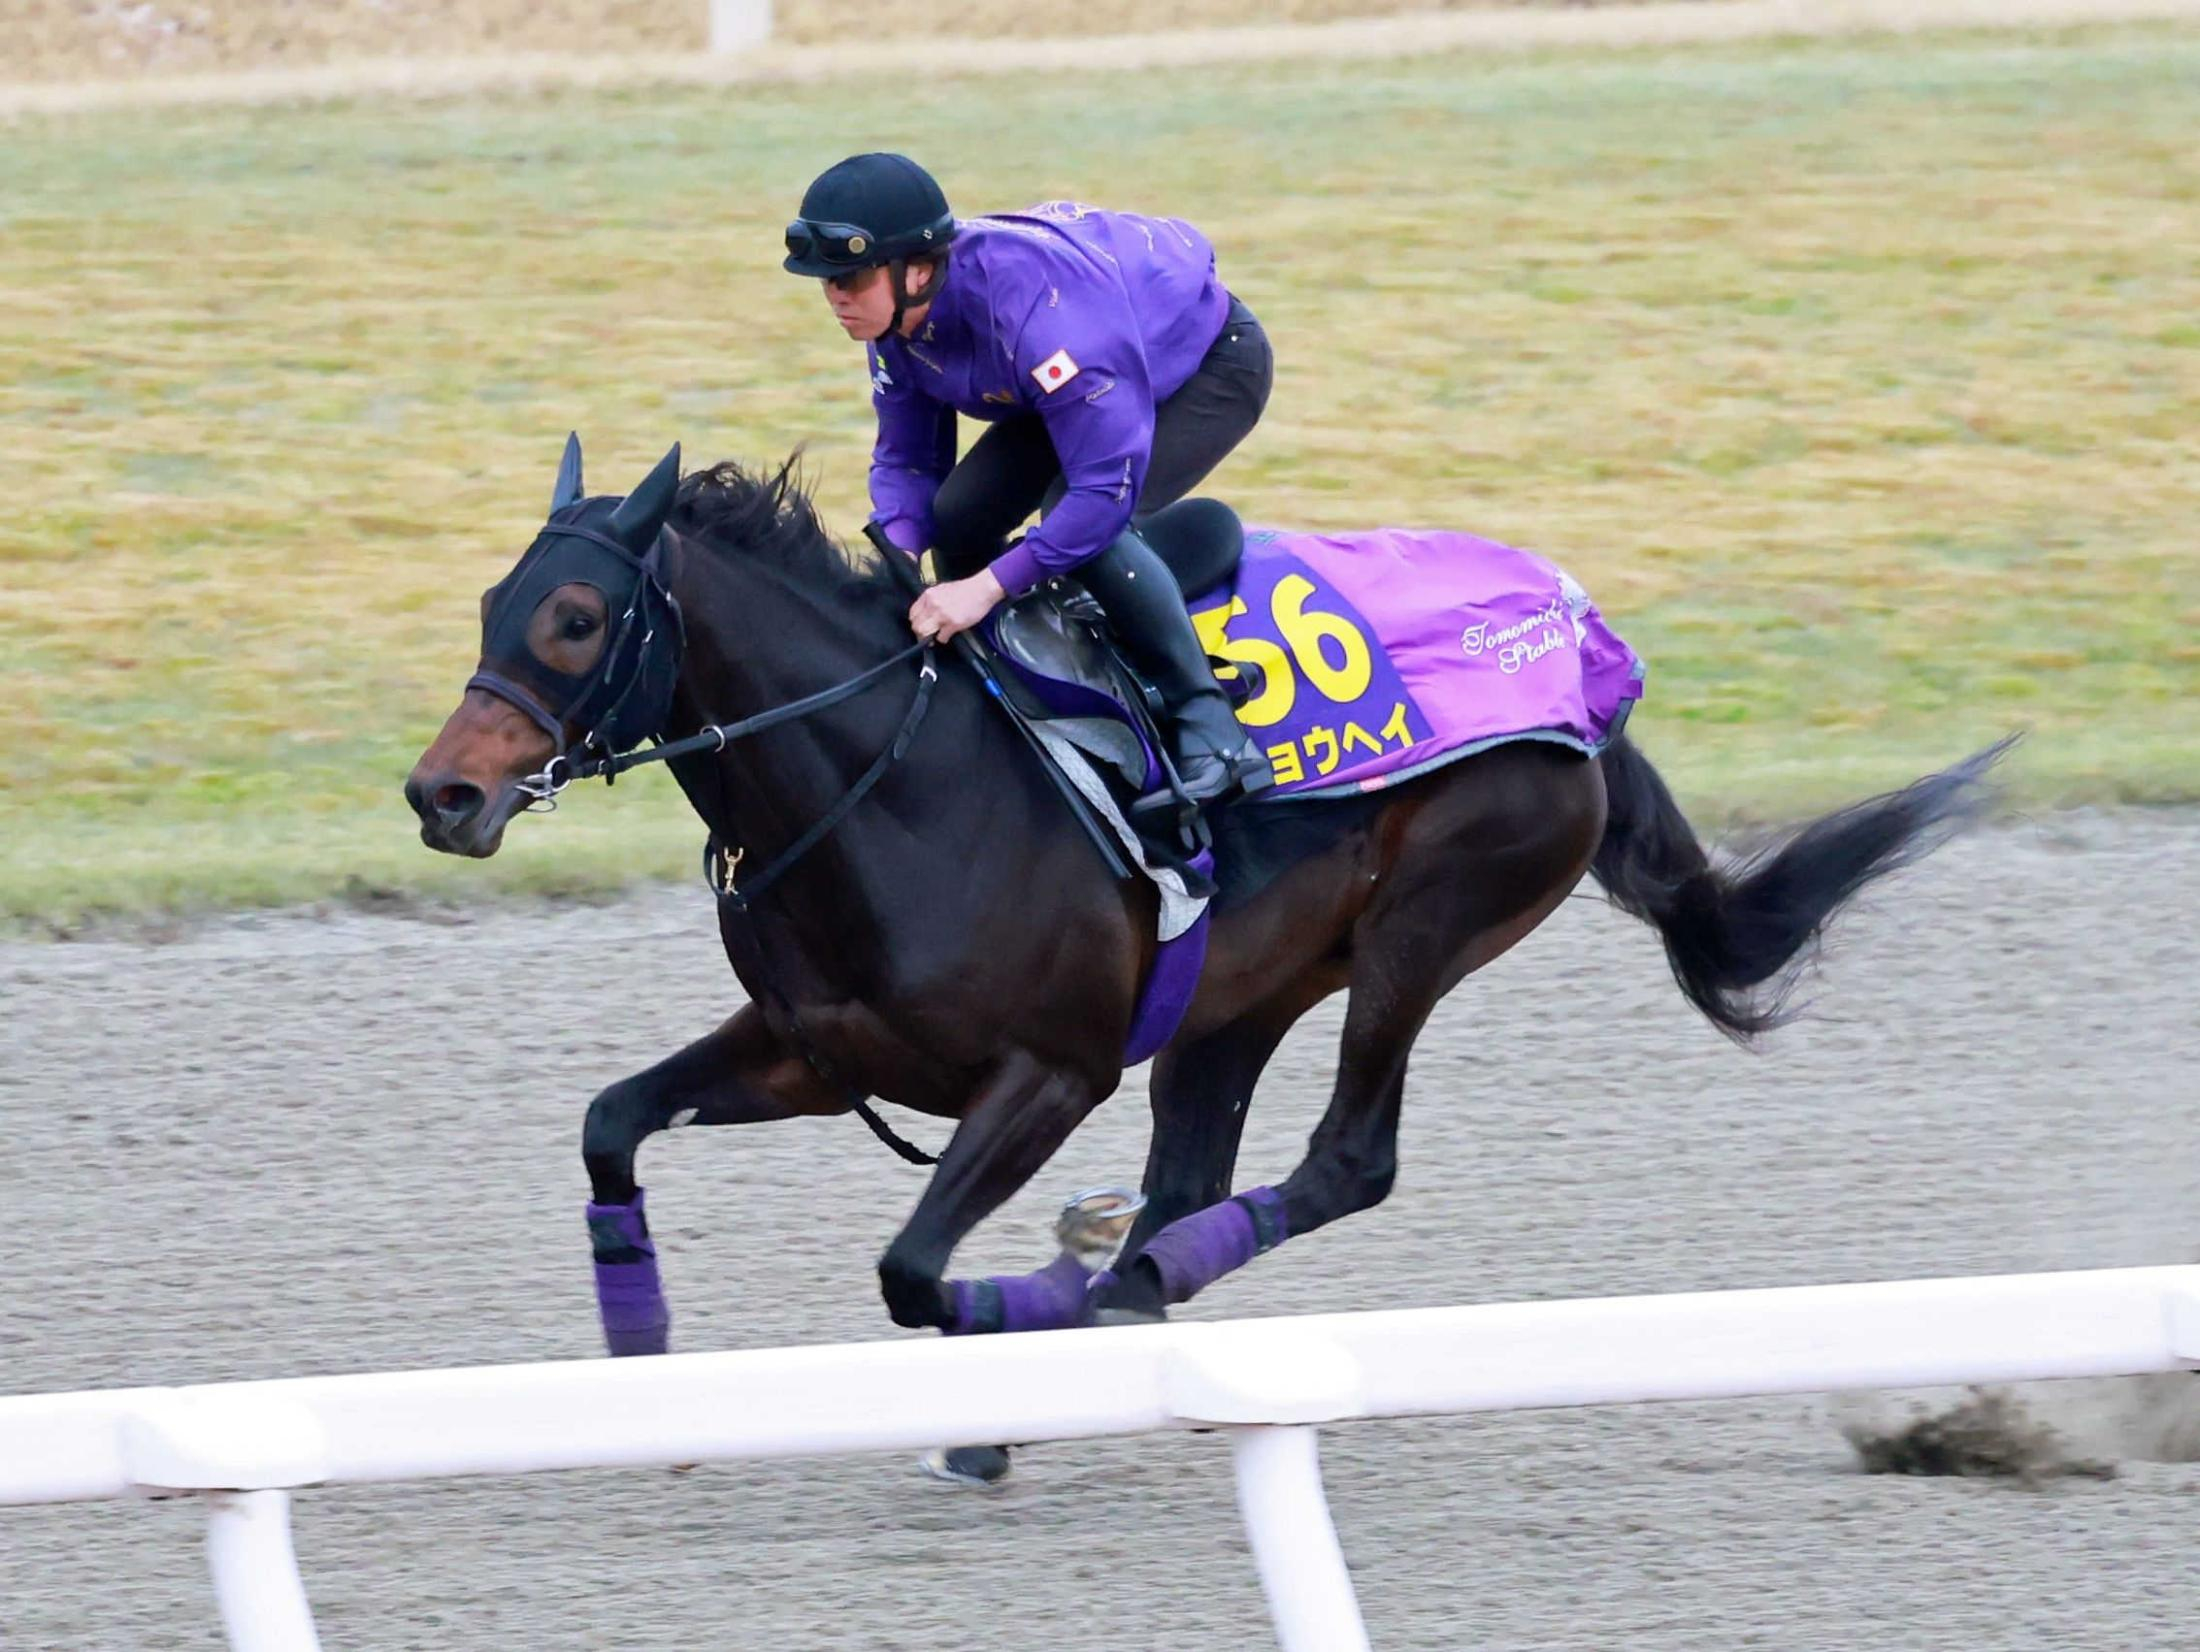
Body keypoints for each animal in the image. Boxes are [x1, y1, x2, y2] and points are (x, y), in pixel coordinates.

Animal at [406, 438, 2009, 1472]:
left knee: (1345, 1161)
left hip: (1425, 924)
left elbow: (914, 1272)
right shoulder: (818, 1047)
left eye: (576, 617)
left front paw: (997, 1379)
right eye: (490, 603)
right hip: (1241, 991)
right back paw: (1125, 1274)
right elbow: (611, 1119)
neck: (893, 782)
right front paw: (642, 1366)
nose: (443, 794)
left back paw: (1114, 1289)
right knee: (1199, 1172)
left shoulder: (1050, 1073)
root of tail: (1584, 657)